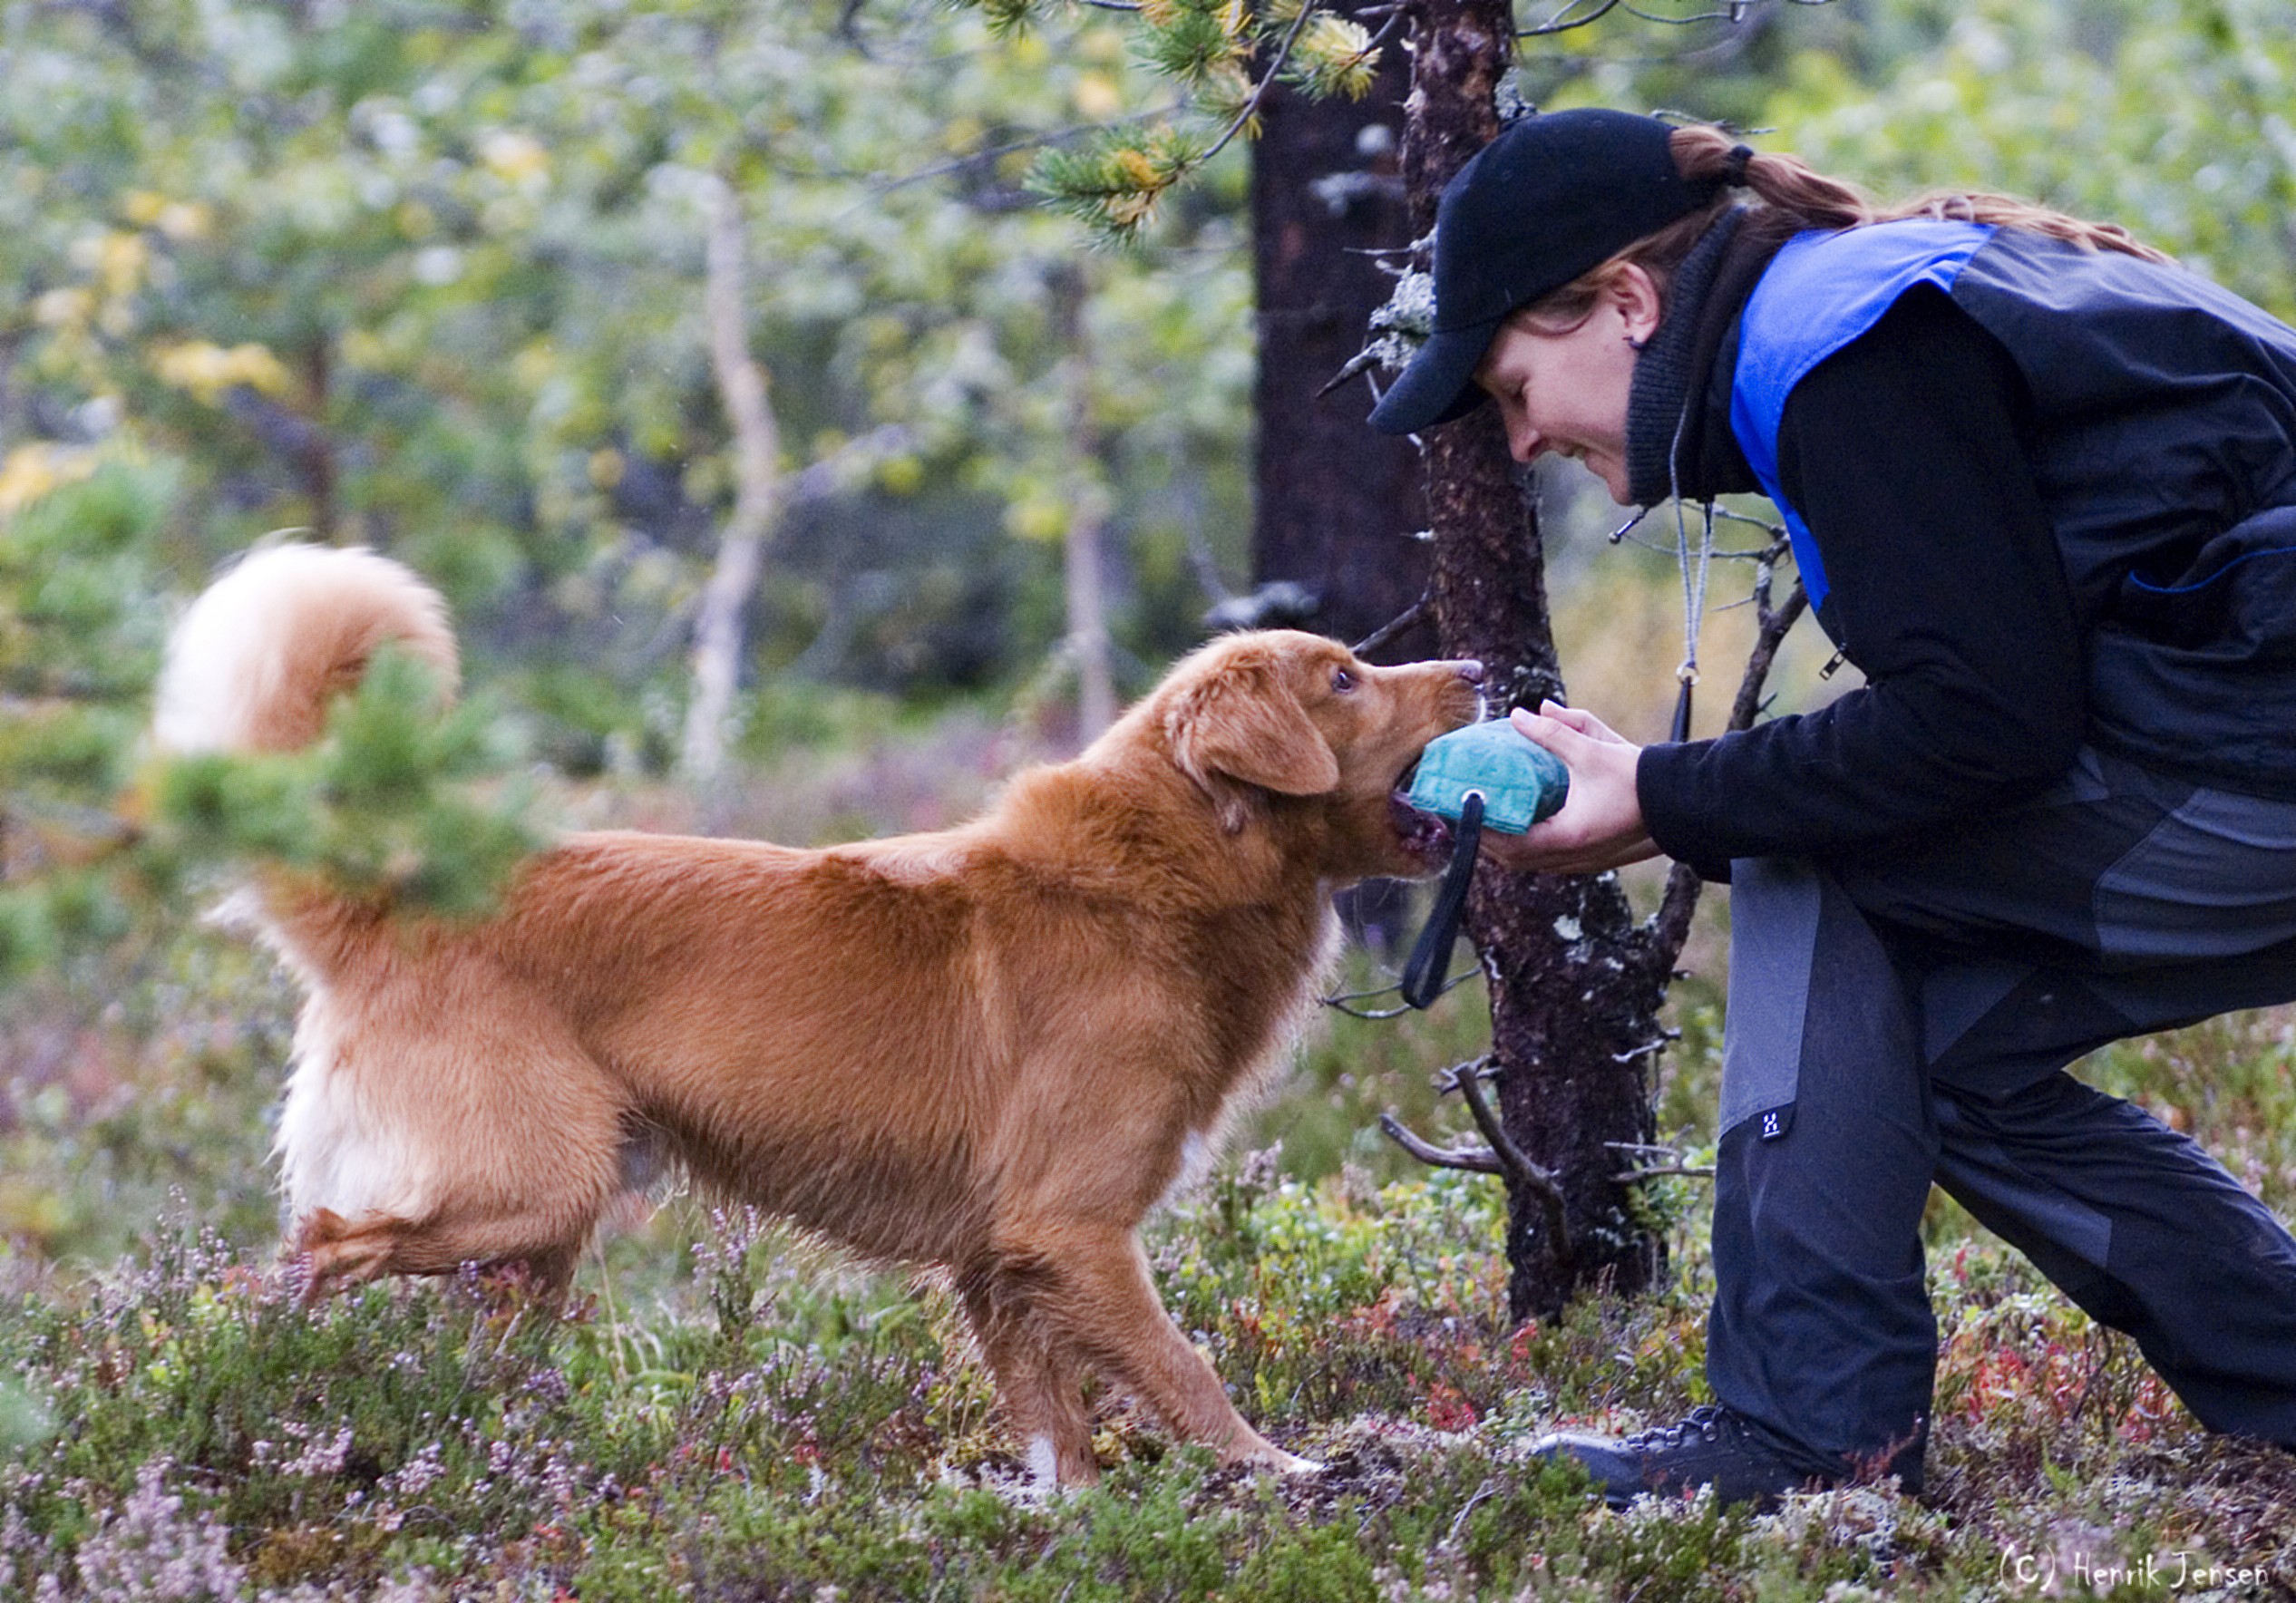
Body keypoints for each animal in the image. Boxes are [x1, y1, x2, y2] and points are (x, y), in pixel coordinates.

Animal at [161, 544, 1487, 1479]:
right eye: (1343, 676)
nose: (1480, 670)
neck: (1168, 874)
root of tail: (396, 900)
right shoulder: (1072, 1231)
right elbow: (1187, 1369)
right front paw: (1284, 1472)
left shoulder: (1001, 1262)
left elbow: (1061, 1437)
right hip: (528, 1183)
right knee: (296, 1255)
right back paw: (238, 1371)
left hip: (535, 1240)